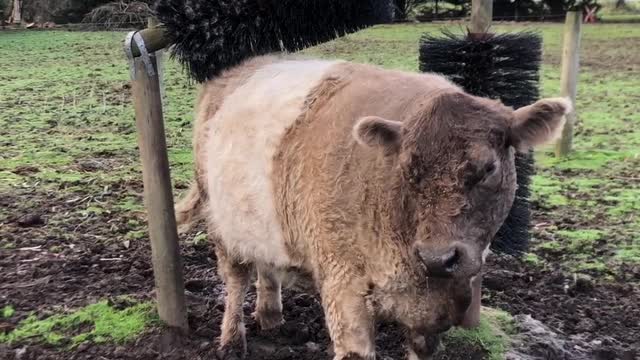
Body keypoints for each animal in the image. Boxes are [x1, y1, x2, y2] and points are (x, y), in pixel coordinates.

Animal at [176, 54, 568, 358]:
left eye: (489, 168)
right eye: (407, 168)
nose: (437, 257)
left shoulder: (442, 303)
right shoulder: (343, 284)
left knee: (267, 266)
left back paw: (271, 317)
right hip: (221, 222)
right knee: (236, 279)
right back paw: (231, 341)